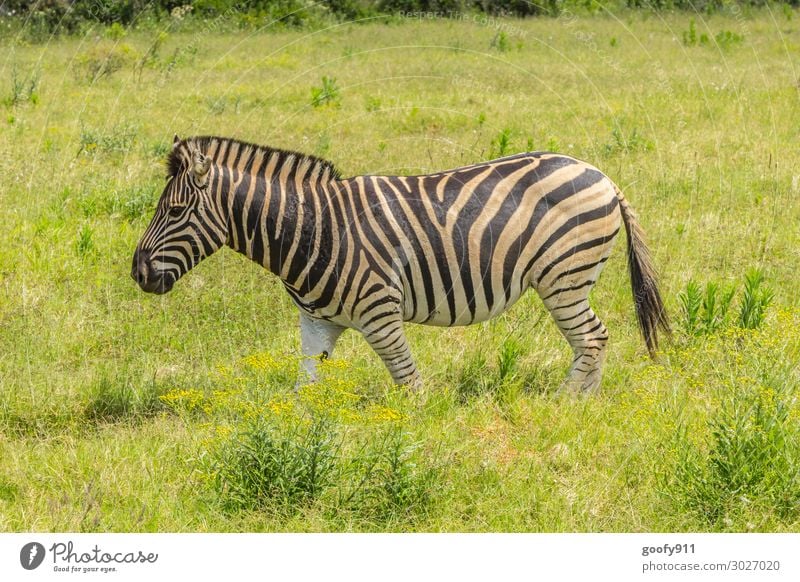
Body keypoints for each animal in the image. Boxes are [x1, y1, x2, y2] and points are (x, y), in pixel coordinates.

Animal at [131, 135, 668, 394]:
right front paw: (292, 442)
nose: (138, 273)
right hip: (568, 280)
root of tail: (600, 174)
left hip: (563, 278)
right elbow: (303, 388)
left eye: (174, 212)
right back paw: (584, 406)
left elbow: (410, 386)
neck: (311, 229)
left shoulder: (380, 313)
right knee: (593, 341)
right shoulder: (316, 322)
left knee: (592, 338)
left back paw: (567, 403)